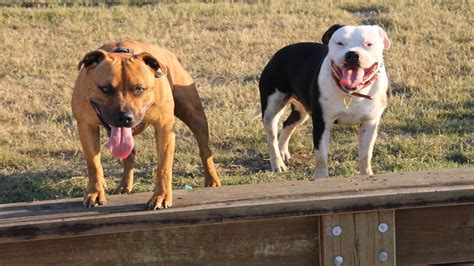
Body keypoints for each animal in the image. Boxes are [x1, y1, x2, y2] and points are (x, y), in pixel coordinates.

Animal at [71, 40, 221, 210]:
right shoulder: (86, 126)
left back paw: (212, 180)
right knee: (129, 156)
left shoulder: (165, 127)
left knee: (204, 149)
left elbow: (163, 166)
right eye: (106, 89)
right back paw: (124, 186)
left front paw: (161, 196)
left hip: (194, 115)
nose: (125, 117)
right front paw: (96, 192)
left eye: (139, 89)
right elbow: (94, 164)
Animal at [262, 24, 390, 179]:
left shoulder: (370, 123)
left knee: (287, 124)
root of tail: (280, 52)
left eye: (369, 44)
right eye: (340, 43)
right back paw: (278, 164)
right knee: (271, 137)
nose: (352, 54)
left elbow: (366, 154)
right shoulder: (322, 123)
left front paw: (366, 175)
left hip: (301, 112)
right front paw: (321, 178)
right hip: (272, 108)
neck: (351, 93)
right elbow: (321, 155)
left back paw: (283, 152)